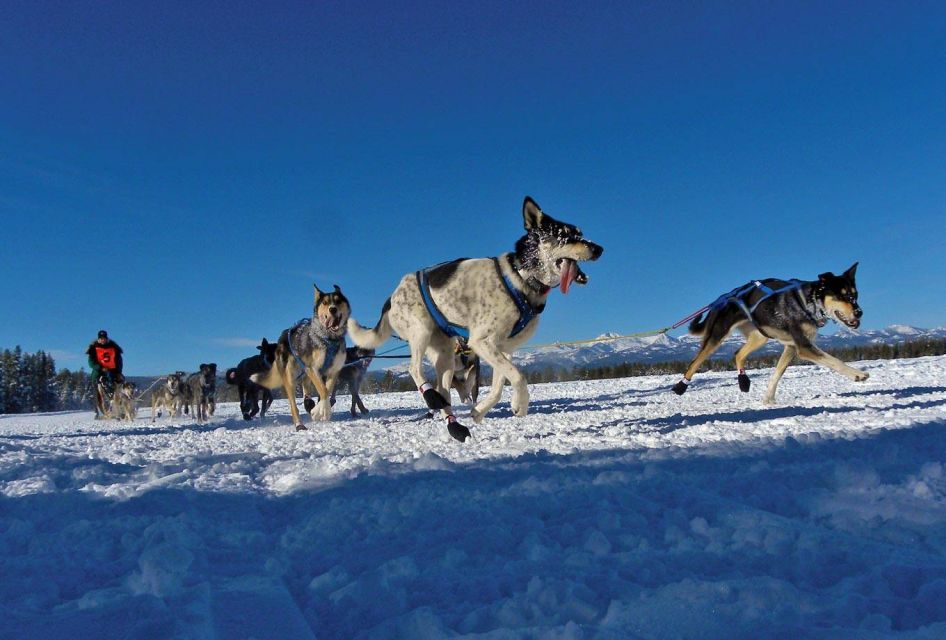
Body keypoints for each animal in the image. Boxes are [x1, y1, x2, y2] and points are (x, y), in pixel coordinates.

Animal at [251, 284, 350, 430]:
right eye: (325, 303)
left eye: (338, 301)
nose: (333, 309)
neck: (329, 338)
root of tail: (283, 336)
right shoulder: (312, 368)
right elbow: (323, 390)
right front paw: (321, 411)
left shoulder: (334, 370)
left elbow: (327, 389)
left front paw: (319, 410)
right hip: (291, 378)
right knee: (294, 406)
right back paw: (299, 424)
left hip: (304, 375)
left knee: (306, 393)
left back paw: (309, 404)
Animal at [344, 198, 596, 442]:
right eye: (564, 235)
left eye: (580, 233)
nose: (599, 248)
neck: (520, 277)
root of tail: (391, 297)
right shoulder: (482, 342)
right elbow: (518, 377)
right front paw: (521, 404)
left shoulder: (503, 349)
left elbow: (499, 385)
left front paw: (481, 410)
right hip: (420, 331)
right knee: (414, 369)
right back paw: (431, 397)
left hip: (444, 356)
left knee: (444, 392)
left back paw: (454, 426)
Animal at [676, 262, 868, 402]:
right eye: (841, 295)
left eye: (855, 295)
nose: (859, 312)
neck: (808, 302)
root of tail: (721, 299)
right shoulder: (804, 347)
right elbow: (835, 361)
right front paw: (857, 374)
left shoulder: (791, 347)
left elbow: (776, 374)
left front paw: (768, 399)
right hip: (717, 335)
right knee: (694, 362)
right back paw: (680, 386)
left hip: (760, 336)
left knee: (738, 353)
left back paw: (743, 382)